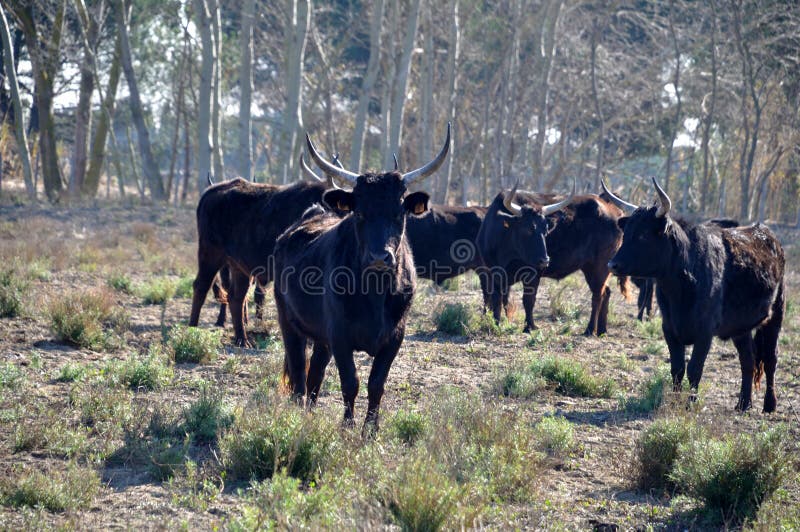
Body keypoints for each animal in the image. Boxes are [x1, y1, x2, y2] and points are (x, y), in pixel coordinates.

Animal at [188, 177, 332, 348]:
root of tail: (211, 191)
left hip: (238, 265)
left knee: (236, 297)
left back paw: (242, 339)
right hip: (210, 253)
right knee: (201, 287)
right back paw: (192, 329)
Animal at [274, 122, 450, 430]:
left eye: (399, 213)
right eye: (360, 213)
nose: (380, 257)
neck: (375, 294)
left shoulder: (394, 337)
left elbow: (376, 383)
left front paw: (371, 429)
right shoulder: (340, 335)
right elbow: (350, 382)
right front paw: (347, 427)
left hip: (320, 338)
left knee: (315, 373)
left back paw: (310, 413)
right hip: (288, 322)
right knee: (298, 373)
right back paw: (297, 415)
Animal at [478, 181, 628, 334]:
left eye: (546, 231)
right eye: (527, 229)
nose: (545, 260)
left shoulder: (533, 274)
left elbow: (528, 300)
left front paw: (529, 326)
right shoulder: (494, 272)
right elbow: (496, 299)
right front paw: (495, 324)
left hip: (599, 266)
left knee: (598, 295)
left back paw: (590, 329)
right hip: (594, 268)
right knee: (606, 292)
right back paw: (602, 330)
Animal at [608, 179, 784, 412]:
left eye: (643, 234)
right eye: (626, 232)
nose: (612, 264)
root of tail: (765, 232)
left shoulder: (704, 333)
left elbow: (694, 369)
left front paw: (690, 404)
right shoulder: (669, 328)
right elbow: (677, 368)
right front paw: (675, 401)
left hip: (776, 315)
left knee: (771, 359)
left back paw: (769, 405)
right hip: (740, 328)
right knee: (748, 359)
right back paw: (743, 404)